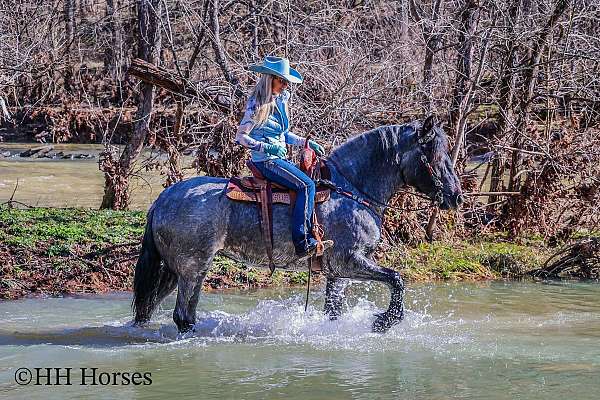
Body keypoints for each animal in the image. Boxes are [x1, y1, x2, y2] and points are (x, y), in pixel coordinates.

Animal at [134, 116, 464, 334]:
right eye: (435, 155)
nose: (456, 196)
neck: (351, 190)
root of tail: (162, 200)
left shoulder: (337, 273)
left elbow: (334, 311)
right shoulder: (348, 261)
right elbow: (397, 279)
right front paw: (384, 321)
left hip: (178, 271)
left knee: (151, 310)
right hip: (192, 268)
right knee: (182, 316)